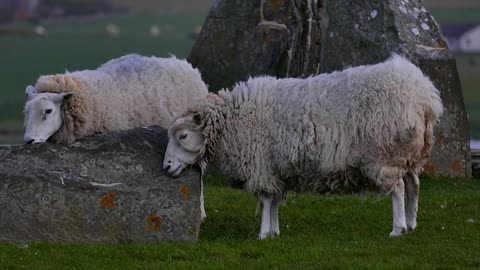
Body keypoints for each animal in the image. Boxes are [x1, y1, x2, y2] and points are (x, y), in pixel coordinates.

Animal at [163, 54, 444, 238]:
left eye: (183, 136)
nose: (165, 166)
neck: (234, 120)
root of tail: (424, 96)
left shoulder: (261, 166)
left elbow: (266, 200)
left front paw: (263, 233)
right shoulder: (275, 169)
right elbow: (275, 200)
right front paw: (274, 230)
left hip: (385, 156)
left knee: (397, 189)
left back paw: (398, 228)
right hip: (409, 155)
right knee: (413, 185)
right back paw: (412, 223)